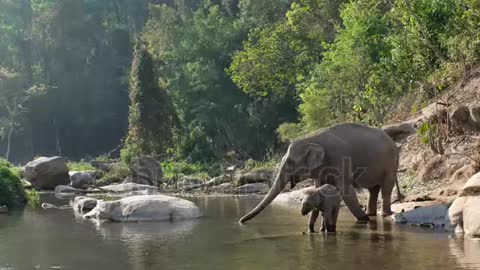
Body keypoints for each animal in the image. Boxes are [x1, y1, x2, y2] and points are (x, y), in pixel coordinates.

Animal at [240, 123, 402, 224]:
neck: (312, 138)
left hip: (391, 163)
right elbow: (320, 187)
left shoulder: (340, 158)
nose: (240, 221)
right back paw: (371, 214)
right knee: (373, 189)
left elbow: (346, 190)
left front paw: (363, 220)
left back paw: (383, 215)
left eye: (291, 162)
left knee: (386, 187)